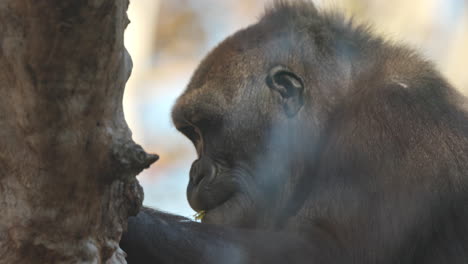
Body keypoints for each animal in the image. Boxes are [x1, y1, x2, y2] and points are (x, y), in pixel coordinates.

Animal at [119, 1, 468, 262]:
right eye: (193, 135)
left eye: (206, 128)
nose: (196, 173)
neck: (340, 104)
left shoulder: (392, 123)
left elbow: (323, 250)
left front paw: (134, 224)